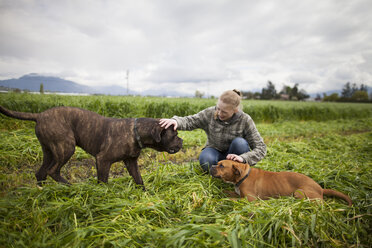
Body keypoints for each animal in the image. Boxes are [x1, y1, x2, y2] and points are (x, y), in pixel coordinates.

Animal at [0, 105, 183, 189]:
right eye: (174, 135)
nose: (181, 141)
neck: (136, 132)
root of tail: (39, 115)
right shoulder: (103, 161)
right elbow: (103, 181)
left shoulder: (131, 162)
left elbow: (139, 180)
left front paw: (146, 196)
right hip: (66, 147)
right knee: (53, 171)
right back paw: (69, 187)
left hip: (49, 151)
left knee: (41, 172)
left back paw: (42, 192)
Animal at [209, 159, 352, 205]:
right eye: (218, 163)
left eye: (221, 166)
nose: (211, 166)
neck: (243, 176)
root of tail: (321, 188)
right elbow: (229, 192)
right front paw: (222, 192)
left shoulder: (250, 199)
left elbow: (234, 199)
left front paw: (221, 199)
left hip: (299, 193)